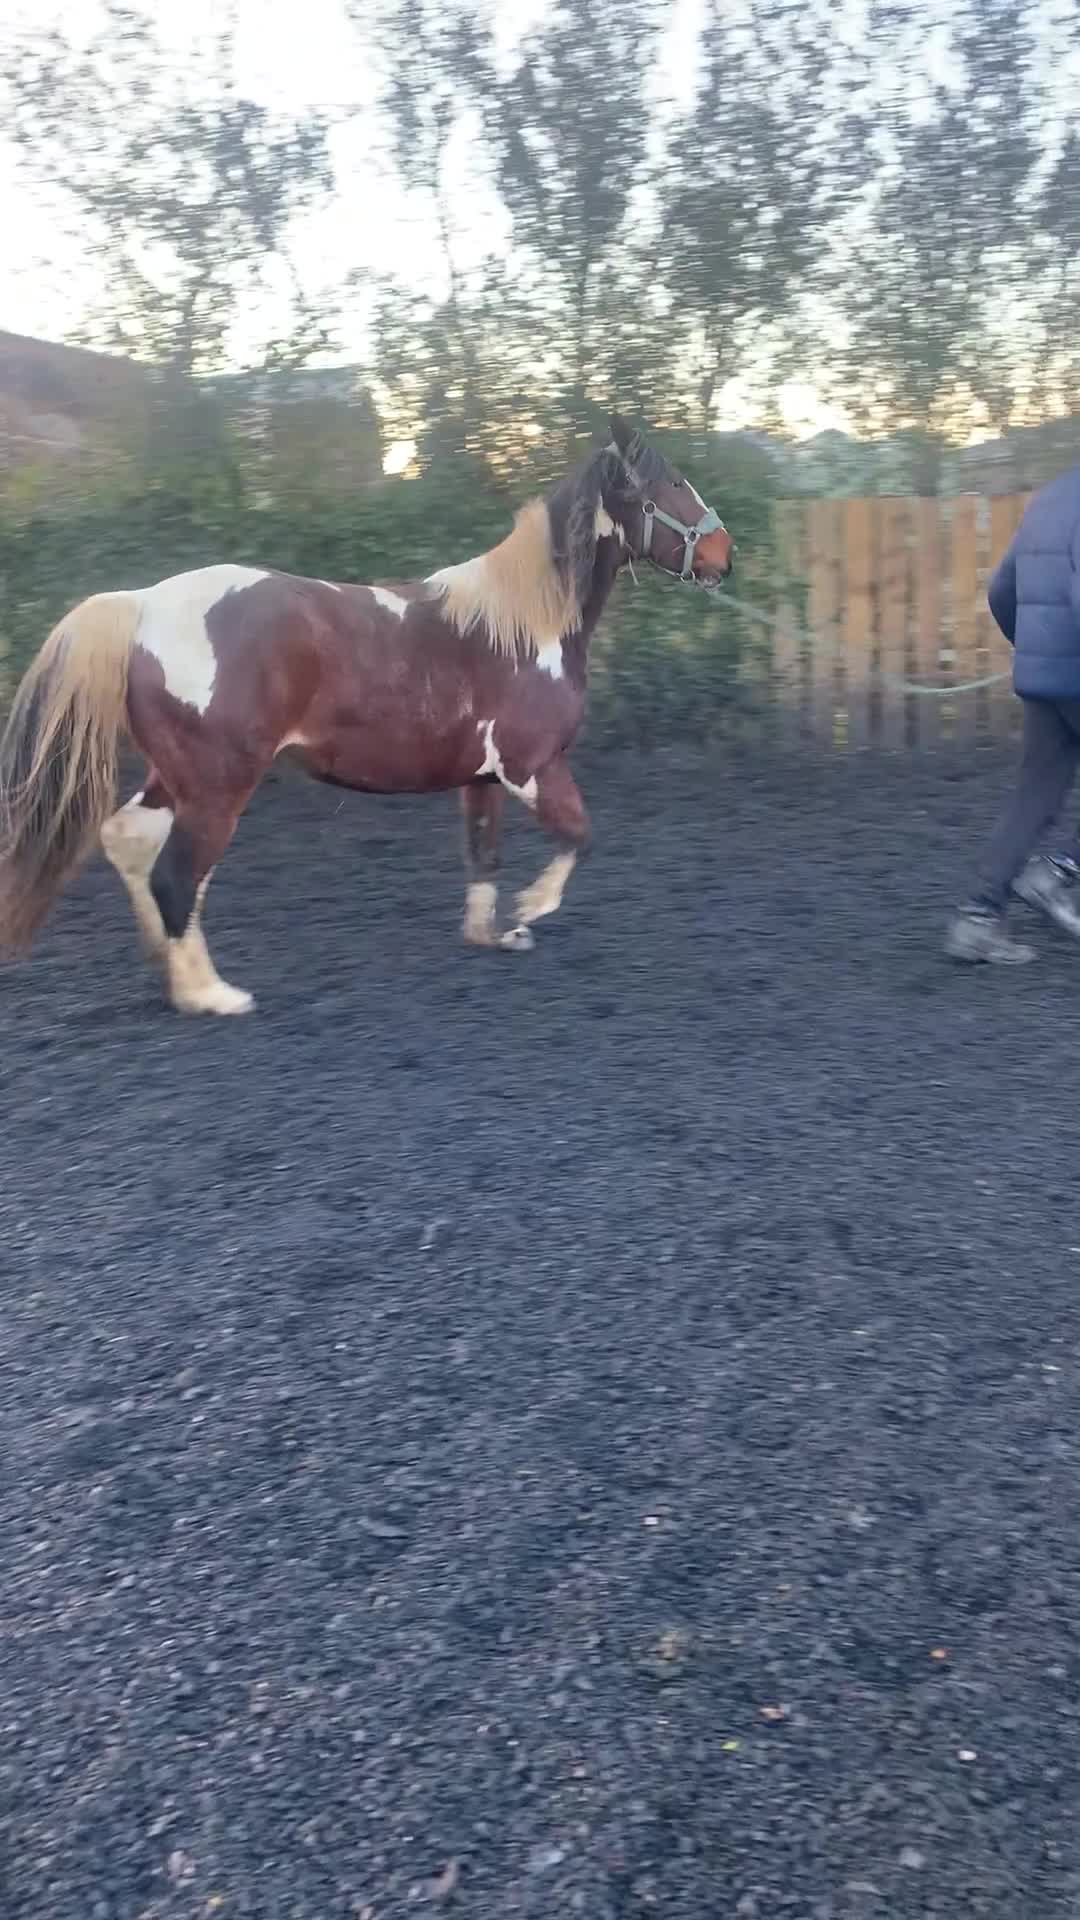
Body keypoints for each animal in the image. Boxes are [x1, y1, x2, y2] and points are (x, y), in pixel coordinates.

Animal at [0, 413, 734, 1014]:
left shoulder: (483, 779)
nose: (724, 556)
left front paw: (493, 934)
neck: (525, 630)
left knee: (133, 844)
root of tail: (142, 604)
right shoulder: (532, 765)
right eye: (671, 483)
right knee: (178, 877)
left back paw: (172, 970)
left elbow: (484, 856)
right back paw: (212, 996)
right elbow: (579, 836)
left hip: (178, 777)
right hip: (218, 786)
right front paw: (529, 911)